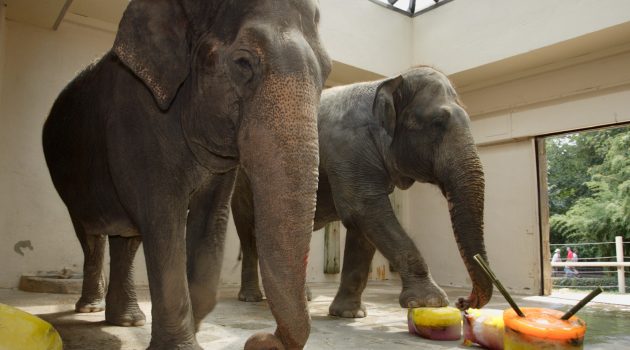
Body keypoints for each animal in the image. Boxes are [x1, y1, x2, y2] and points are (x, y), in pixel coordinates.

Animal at [41, 1, 330, 348]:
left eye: (328, 71)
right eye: (243, 63)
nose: (260, 339)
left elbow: (210, 220)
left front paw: (195, 322)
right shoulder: (136, 117)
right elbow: (163, 219)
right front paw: (183, 340)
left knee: (127, 240)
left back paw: (128, 321)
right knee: (91, 234)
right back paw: (90, 309)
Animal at [232, 67, 494, 318]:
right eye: (438, 122)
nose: (463, 302)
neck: (387, 84)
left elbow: (362, 227)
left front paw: (348, 314)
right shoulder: (347, 148)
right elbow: (365, 209)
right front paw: (430, 302)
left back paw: (302, 298)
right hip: (243, 183)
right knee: (248, 233)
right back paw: (251, 298)